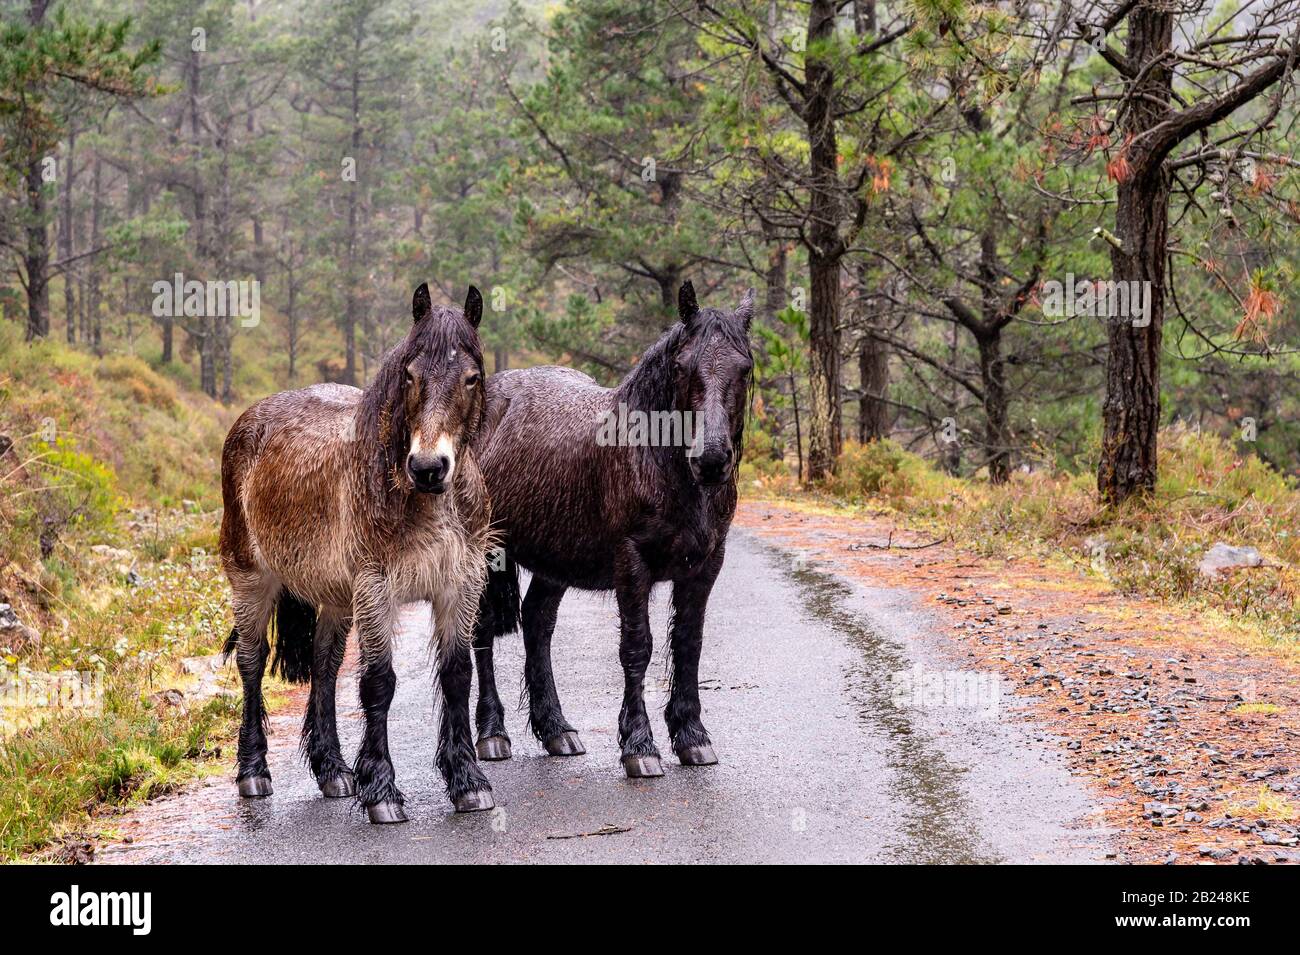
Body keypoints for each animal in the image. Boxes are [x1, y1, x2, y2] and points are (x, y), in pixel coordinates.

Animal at [218, 281, 491, 821]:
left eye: (471, 378)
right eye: (409, 375)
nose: (428, 468)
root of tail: (249, 420)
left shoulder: (459, 587)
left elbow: (456, 675)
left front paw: (467, 781)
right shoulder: (376, 590)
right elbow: (379, 682)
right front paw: (382, 791)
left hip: (336, 599)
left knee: (324, 667)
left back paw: (333, 771)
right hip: (252, 581)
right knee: (252, 663)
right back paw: (254, 772)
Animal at [470, 281, 754, 779]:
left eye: (744, 368)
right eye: (683, 367)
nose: (712, 459)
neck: (654, 458)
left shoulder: (705, 565)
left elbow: (689, 643)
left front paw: (692, 737)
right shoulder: (631, 563)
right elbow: (637, 647)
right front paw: (640, 746)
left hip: (554, 561)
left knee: (538, 624)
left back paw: (557, 730)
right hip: (488, 554)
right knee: (483, 630)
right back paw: (492, 734)